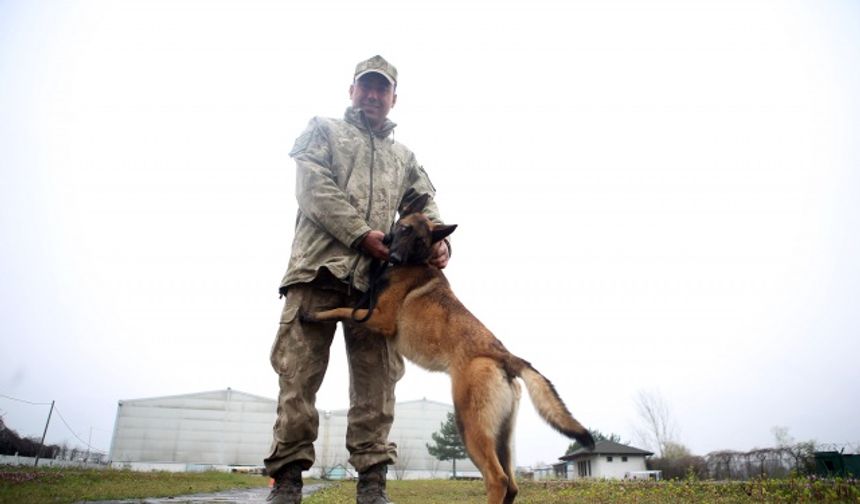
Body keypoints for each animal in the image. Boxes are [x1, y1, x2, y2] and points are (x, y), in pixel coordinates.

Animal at [306, 194, 596, 504]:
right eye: (404, 230)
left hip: (470, 425)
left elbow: (340, 309)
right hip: (502, 436)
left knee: (498, 479)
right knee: (513, 485)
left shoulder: (379, 318)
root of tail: (504, 356)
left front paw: (312, 314)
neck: (415, 262)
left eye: (420, 241)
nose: (394, 259)